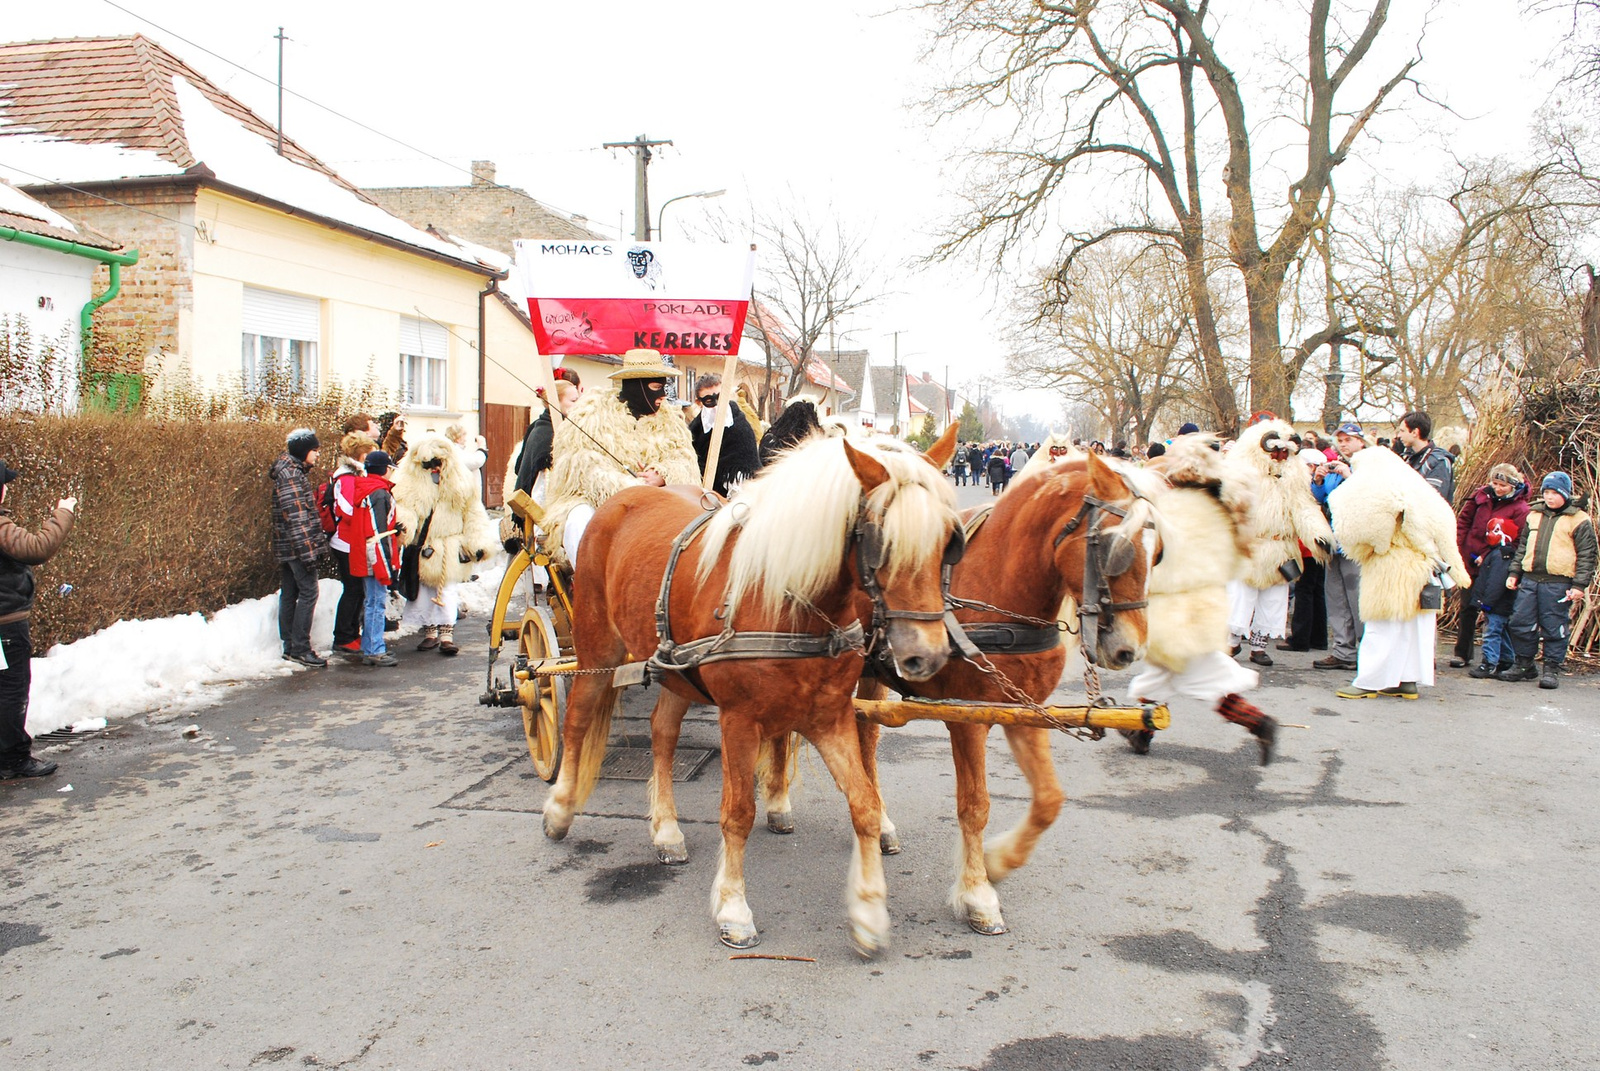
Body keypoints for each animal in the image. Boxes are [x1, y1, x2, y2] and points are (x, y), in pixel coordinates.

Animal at [544, 425, 953, 954]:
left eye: (949, 540)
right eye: (881, 540)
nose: (929, 654)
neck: (783, 595)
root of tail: (623, 497)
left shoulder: (831, 716)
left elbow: (863, 802)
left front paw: (867, 911)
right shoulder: (739, 719)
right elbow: (737, 812)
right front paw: (734, 909)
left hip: (676, 671)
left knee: (662, 732)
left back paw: (666, 830)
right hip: (597, 651)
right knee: (577, 720)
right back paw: (560, 809)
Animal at [758, 451, 1152, 934]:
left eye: (1159, 551)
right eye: (1118, 549)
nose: (1129, 649)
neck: (1001, 588)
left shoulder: (1025, 711)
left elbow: (1048, 800)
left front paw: (998, 863)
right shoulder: (968, 719)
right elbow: (974, 805)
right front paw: (978, 893)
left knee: (865, 737)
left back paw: (879, 822)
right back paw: (778, 801)